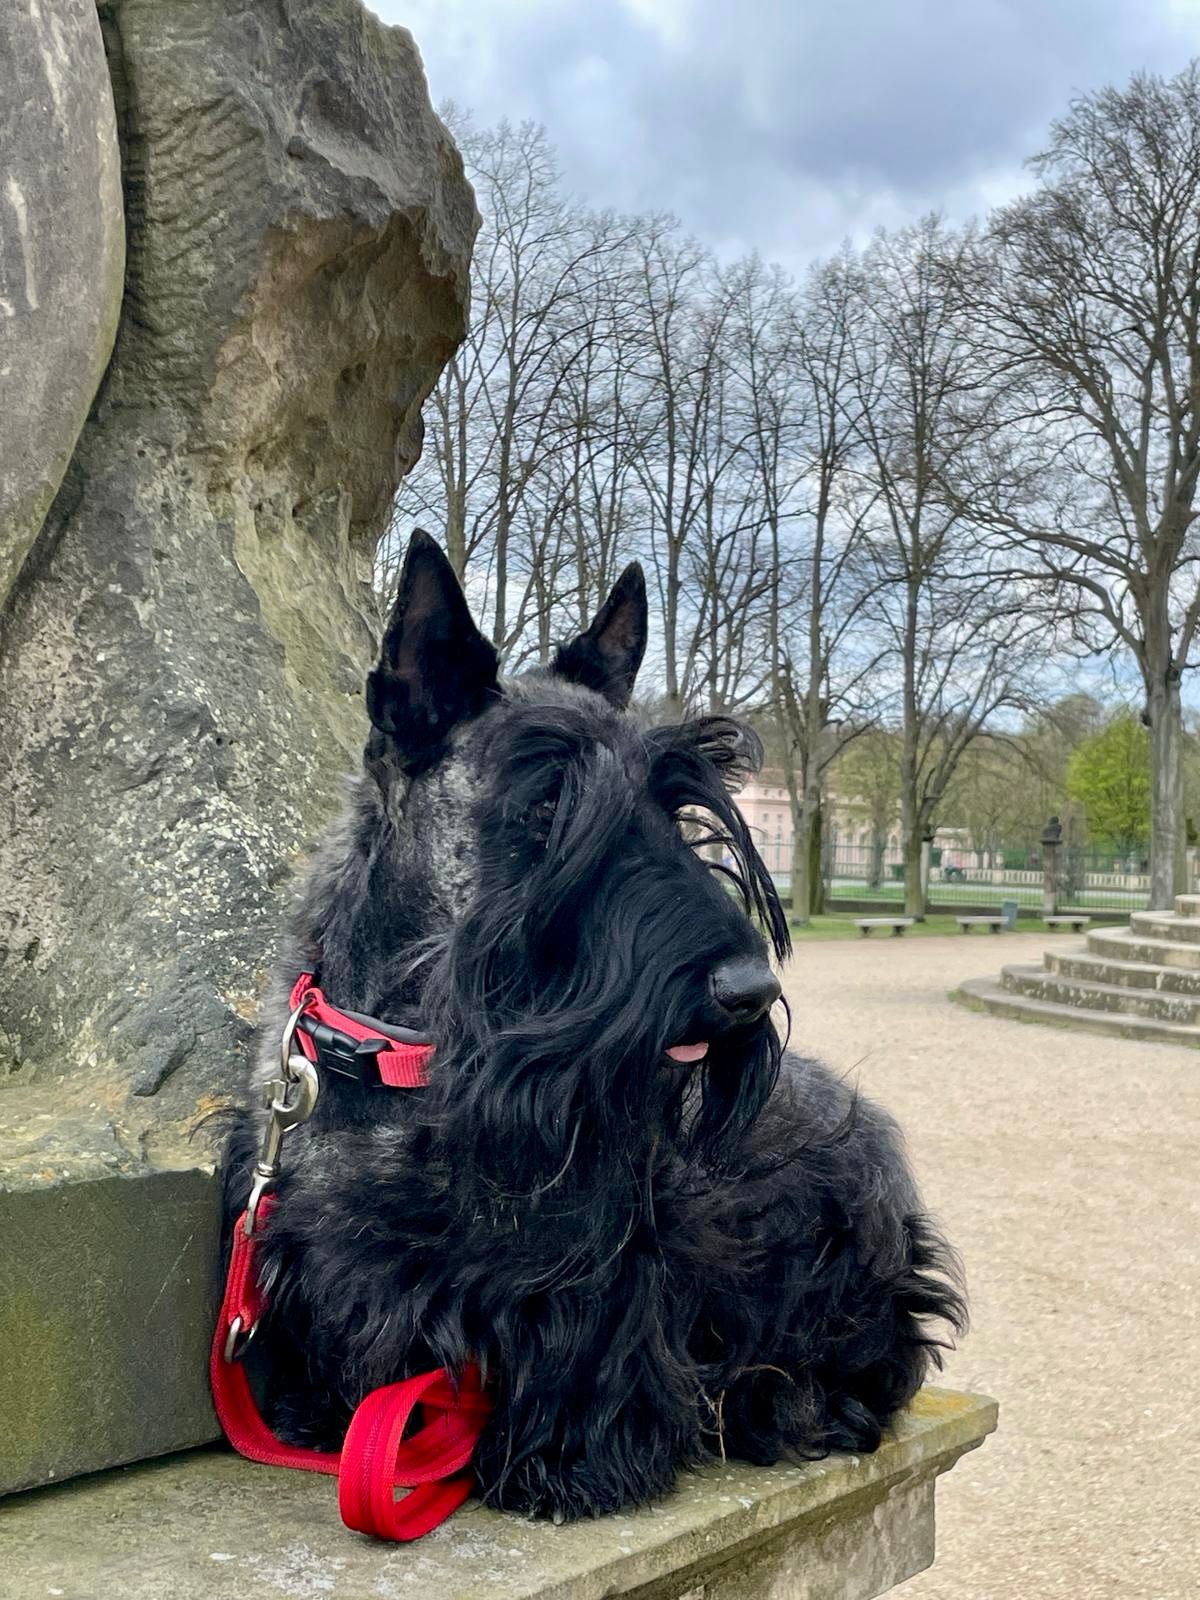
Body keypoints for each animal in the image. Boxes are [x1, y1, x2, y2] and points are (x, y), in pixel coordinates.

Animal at [223, 528, 965, 1522]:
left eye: (676, 806)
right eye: (547, 805)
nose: (747, 988)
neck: (412, 1063)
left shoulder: (596, 1271)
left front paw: (565, 1462)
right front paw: (314, 1408)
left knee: (871, 1357)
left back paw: (798, 1408)